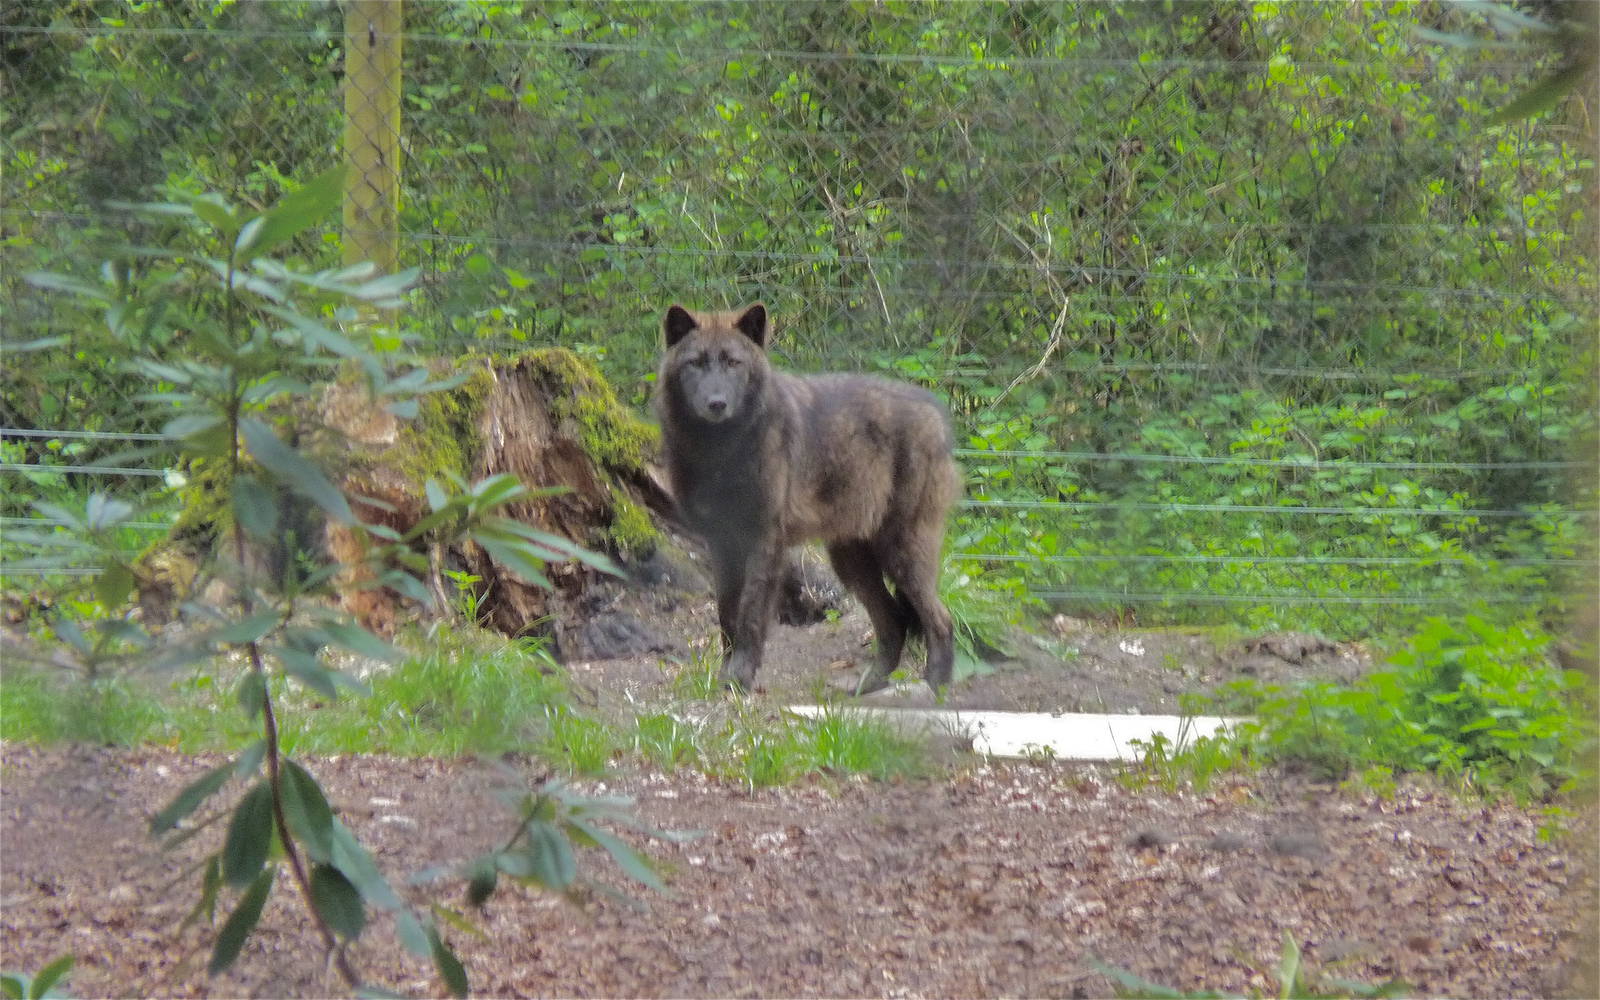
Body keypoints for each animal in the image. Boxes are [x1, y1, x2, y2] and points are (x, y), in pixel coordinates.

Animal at [654, 302, 960, 693]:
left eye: (734, 363)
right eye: (695, 363)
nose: (716, 403)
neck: (720, 452)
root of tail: (936, 411)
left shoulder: (765, 542)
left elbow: (750, 614)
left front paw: (741, 678)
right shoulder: (720, 544)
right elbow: (726, 614)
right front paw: (725, 677)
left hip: (900, 553)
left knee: (941, 619)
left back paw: (935, 687)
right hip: (852, 562)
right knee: (894, 621)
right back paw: (868, 685)